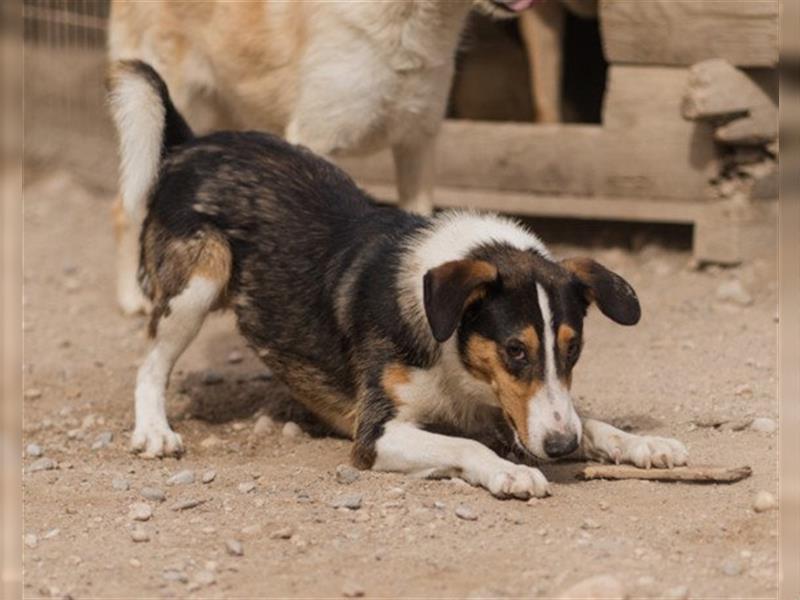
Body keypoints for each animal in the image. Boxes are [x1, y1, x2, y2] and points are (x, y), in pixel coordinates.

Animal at [108, 0, 536, 314]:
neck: (408, 19)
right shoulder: (314, 139)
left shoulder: (418, 145)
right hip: (161, 117)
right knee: (125, 208)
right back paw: (132, 296)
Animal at [109, 62, 692, 502]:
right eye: (514, 350)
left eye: (574, 349)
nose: (560, 449)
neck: (451, 353)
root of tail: (192, 143)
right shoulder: (377, 433)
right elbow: (467, 447)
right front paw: (511, 470)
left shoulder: (516, 409)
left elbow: (588, 419)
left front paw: (643, 443)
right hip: (200, 279)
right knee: (150, 362)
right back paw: (155, 430)